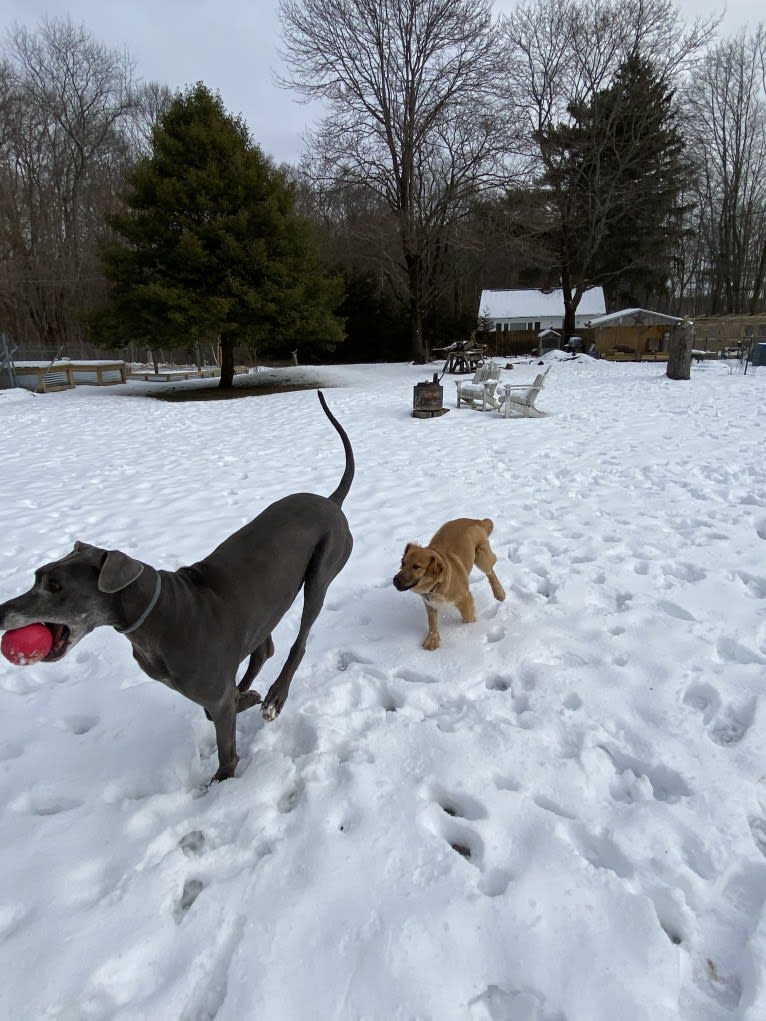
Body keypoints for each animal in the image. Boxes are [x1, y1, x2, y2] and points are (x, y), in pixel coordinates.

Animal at [0, 390, 353, 780]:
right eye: (37, 576)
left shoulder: (214, 693)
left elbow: (226, 748)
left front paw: (222, 782)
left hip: (321, 574)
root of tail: (330, 501)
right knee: (264, 650)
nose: (0, 613)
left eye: (55, 586)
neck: (156, 616)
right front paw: (245, 697)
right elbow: (218, 707)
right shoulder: (213, 690)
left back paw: (275, 697)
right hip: (265, 606)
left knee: (299, 643)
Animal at [392, 514, 506, 649]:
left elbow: (468, 618)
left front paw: (470, 630)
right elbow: (432, 623)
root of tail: (475, 520)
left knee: (491, 572)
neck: (436, 585)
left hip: (481, 556)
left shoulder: (465, 599)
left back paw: (499, 593)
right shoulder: (430, 604)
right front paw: (432, 639)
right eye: (403, 563)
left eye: (416, 567)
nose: (394, 580)